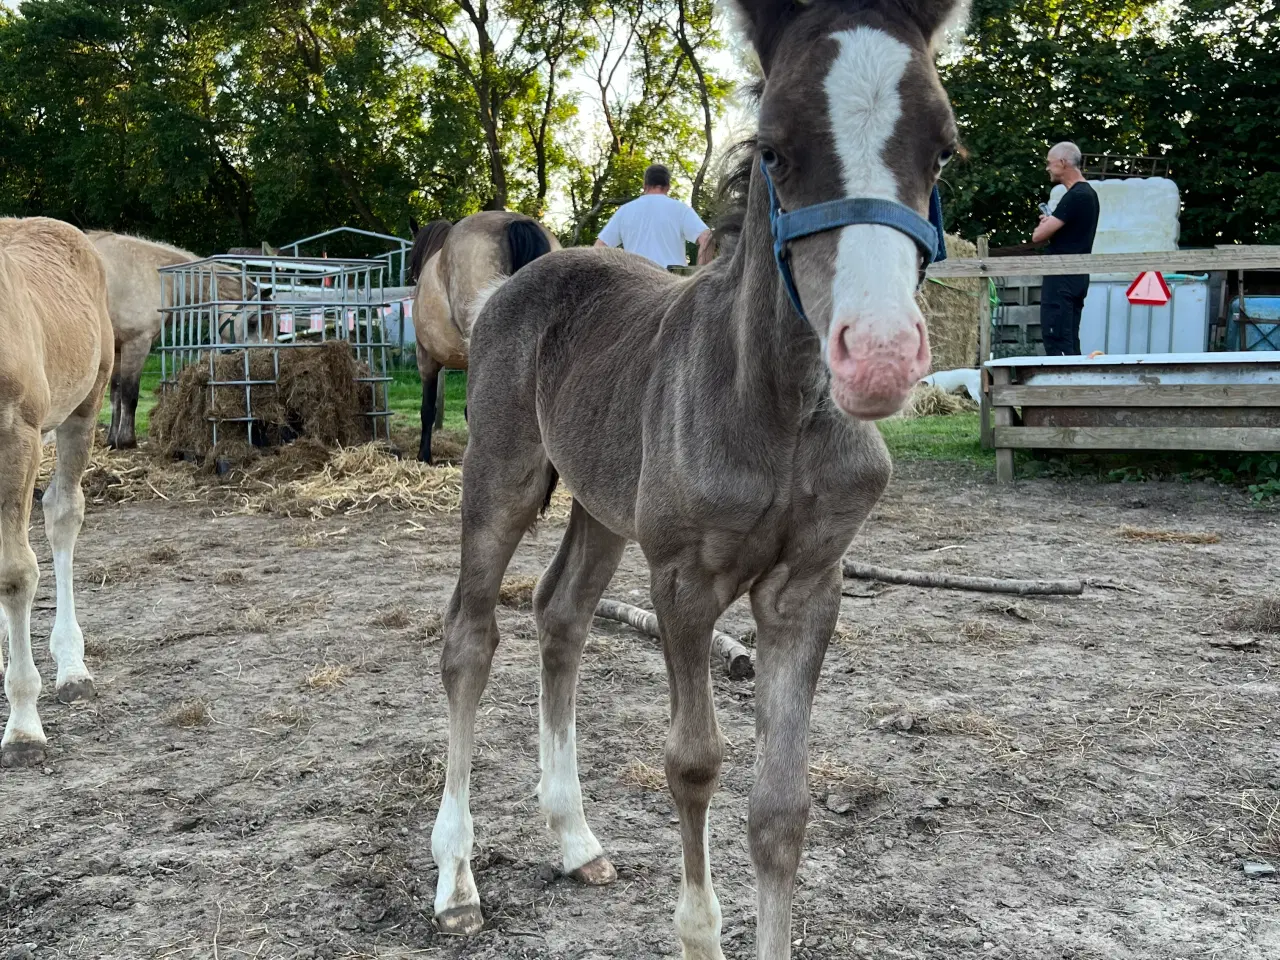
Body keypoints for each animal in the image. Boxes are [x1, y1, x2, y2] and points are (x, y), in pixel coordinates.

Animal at [88, 232, 261, 450]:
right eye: (253, 323)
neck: (153, 274)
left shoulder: (119, 349)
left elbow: (115, 395)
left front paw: (113, 440)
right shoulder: (137, 344)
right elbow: (129, 394)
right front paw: (128, 440)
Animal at [427, 3, 962, 957]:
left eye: (942, 149)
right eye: (775, 151)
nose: (880, 354)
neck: (781, 413)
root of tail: (515, 283)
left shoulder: (807, 587)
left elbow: (781, 806)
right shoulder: (683, 581)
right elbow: (693, 763)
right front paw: (698, 930)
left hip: (602, 507)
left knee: (560, 615)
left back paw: (576, 839)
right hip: (503, 477)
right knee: (470, 638)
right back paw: (456, 880)